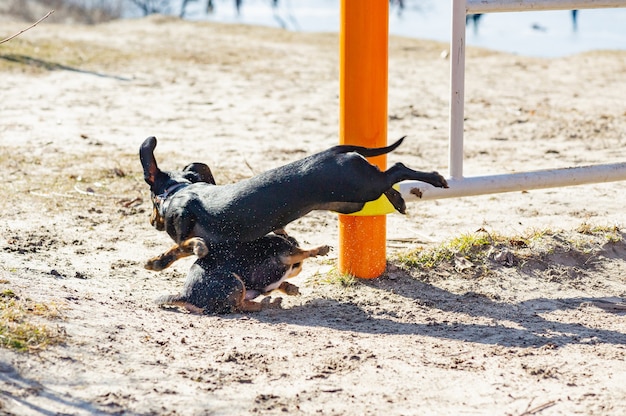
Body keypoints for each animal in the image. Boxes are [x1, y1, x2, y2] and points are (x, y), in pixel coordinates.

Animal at [155, 232, 326, 314]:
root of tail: (186, 295)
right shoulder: (286, 253)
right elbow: (302, 252)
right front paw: (320, 249)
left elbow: (280, 283)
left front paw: (290, 288)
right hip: (235, 282)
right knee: (240, 306)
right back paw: (268, 304)